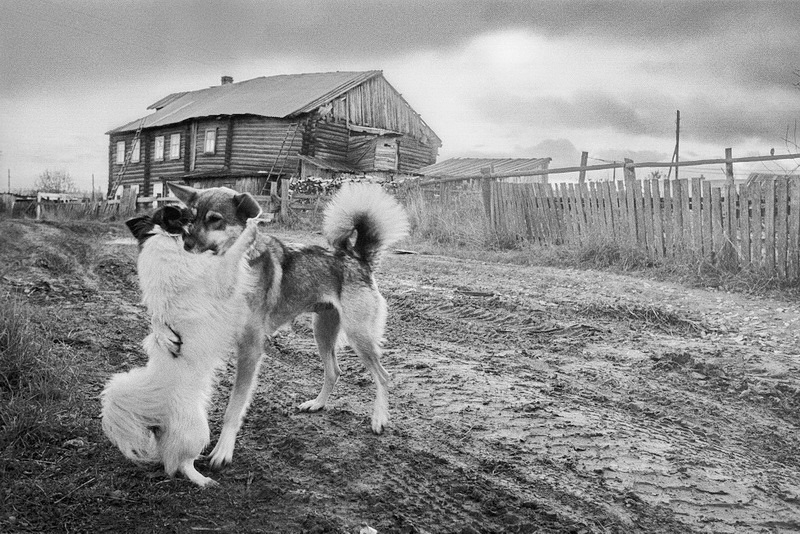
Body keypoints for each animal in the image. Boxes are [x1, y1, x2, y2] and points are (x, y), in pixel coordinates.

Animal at [101, 206, 260, 490]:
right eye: (183, 212)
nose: (195, 209)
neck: (165, 237)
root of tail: (156, 414)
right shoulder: (220, 279)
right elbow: (232, 255)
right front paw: (250, 230)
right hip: (197, 431)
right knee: (180, 465)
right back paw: (204, 480)